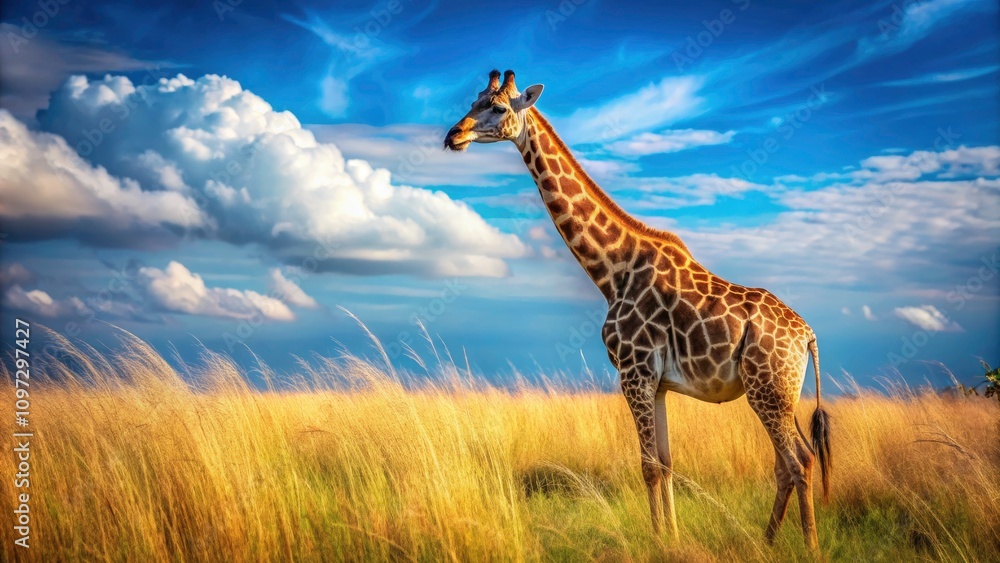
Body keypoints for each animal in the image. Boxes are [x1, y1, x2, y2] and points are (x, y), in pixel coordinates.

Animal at [444, 70, 832, 549]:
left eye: (497, 107)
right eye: (473, 101)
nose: (453, 135)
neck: (612, 271)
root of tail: (808, 335)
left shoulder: (634, 371)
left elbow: (647, 466)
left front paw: (659, 539)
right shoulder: (658, 382)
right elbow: (665, 462)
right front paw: (672, 536)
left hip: (769, 389)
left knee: (799, 461)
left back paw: (809, 546)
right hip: (780, 391)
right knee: (789, 461)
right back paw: (766, 540)